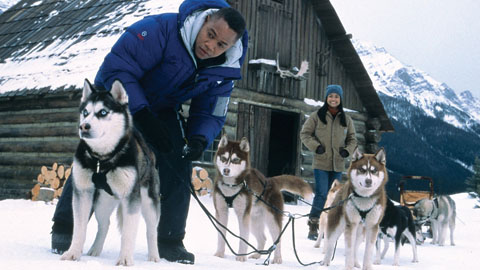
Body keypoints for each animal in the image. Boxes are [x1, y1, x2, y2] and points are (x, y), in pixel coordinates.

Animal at [59, 80, 161, 266]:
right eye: (85, 112)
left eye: (103, 112)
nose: (83, 126)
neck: (102, 158)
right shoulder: (83, 191)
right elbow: (79, 228)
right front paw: (73, 253)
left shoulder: (131, 197)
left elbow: (128, 233)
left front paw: (125, 259)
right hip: (102, 202)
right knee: (104, 224)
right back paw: (95, 250)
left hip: (149, 201)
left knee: (151, 229)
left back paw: (154, 256)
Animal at [213, 135, 312, 264]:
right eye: (224, 158)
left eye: (236, 160)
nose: (226, 170)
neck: (231, 186)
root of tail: (271, 180)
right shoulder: (221, 211)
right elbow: (221, 234)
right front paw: (219, 254)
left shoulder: (243, 214)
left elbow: (243, 237)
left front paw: (241, 256)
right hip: (254, 220)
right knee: (263, 238)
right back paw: (257, 255)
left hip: (271, 220)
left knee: (277, 240)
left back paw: (277, 258)